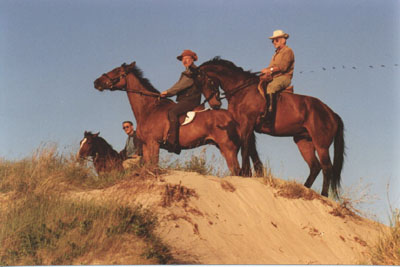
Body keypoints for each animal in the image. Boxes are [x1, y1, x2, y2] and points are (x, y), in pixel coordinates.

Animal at [94, 61, 241, 177]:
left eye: (117, 71)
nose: (96, 82)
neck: (148, 108)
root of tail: (231, 116)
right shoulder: (146, 145)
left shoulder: (154, 143)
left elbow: (154, 166)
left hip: (228, 148)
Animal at [198, 57, 346, 198]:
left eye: (206, 81)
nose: (215, 104)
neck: (243, 90)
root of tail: (331, 113)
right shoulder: (246, 126)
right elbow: (251, 149)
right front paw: (255, 173)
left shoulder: (247, 123)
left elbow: (245, 148)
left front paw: (244, 173)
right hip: (304, 142)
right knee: (315, 166)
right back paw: (305, 189)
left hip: (321, 145)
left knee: (327, 168)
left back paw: (324, 194)